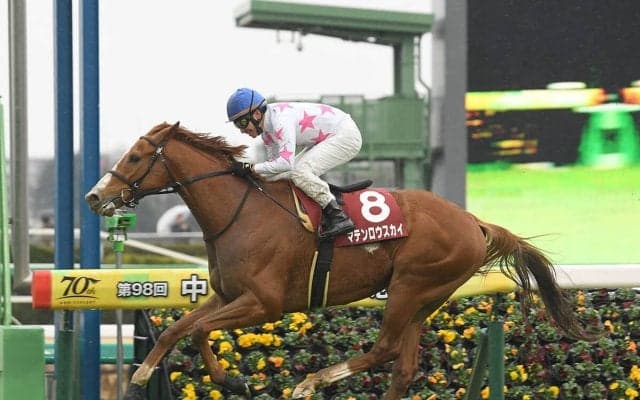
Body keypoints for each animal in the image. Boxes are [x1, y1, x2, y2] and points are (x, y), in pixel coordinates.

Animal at [85, 122, 599, 399]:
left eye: (136, 157)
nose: (94, 196)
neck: (242, 212)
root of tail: (474, 221)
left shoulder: (264, 303)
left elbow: (196, 331)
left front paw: (232, 382)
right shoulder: (228, 295)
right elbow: (177, 329)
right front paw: (141, 376)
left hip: (411, 285)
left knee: (386, 349)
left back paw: (310, 382)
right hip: (426, 297)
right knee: (403, 365)